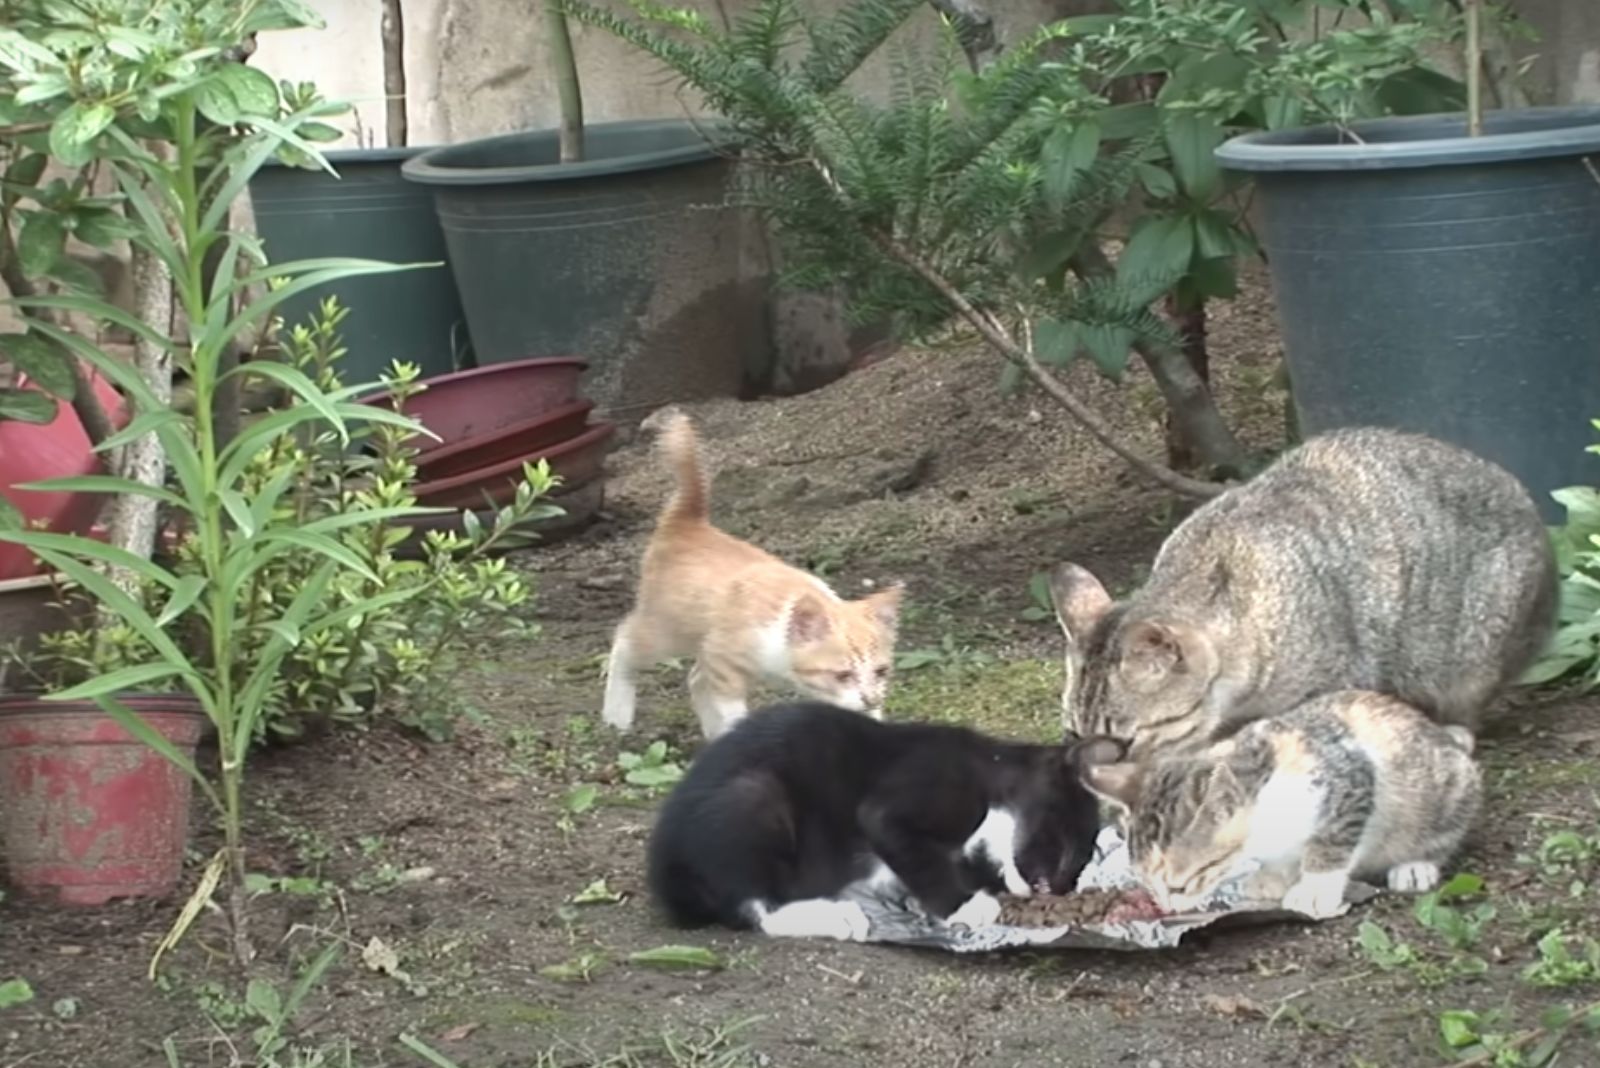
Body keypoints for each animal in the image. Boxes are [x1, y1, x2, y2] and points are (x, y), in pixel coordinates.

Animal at [601, 412, 908, 738]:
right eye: (843, 674)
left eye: (881, 671)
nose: (871, 698)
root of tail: (689, 523)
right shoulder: (724, 660)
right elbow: (732, 710)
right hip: (667, 629)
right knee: (625, 641)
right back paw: (617, 715)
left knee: (696, 677)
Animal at [643, 700, 1107, 940]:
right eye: (1068, 843)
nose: (1064, 887)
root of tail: (665, 871)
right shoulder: (921, 788)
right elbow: (907, 844)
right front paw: (967, 906)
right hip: (753, 797)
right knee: (755, 906)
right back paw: (834, 915)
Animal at [1081, 693, 1478, 920]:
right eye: (1146, 883)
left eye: (1185, 883)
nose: (1166, 908)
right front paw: (1271, 878)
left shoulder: (1351, 776)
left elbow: (1331, 840)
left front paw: (1315, 890)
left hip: (1446, 786)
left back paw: (1415, 867)